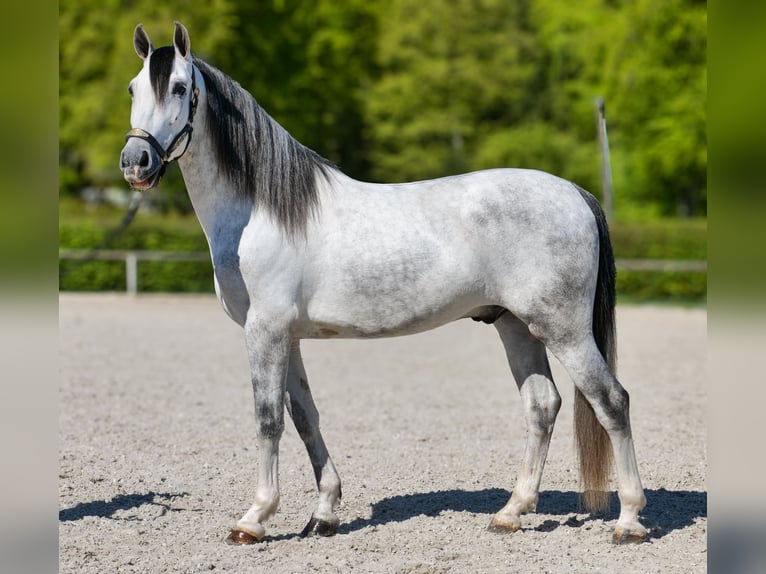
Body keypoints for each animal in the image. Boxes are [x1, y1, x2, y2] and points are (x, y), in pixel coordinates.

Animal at [119, 22, 647, 545]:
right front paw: (324, 514)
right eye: (133, 88)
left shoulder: (265, 331)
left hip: (565, 331)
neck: (261, 211)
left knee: (612, 402)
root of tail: (575, 193)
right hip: (517, 326)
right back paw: (510, 512)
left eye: (180, 87)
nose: (136, 161)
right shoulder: (289, 337)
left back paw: (629, 521)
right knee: (542, 406)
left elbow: (268, 419)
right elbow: (305, 417)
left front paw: (254, 518)